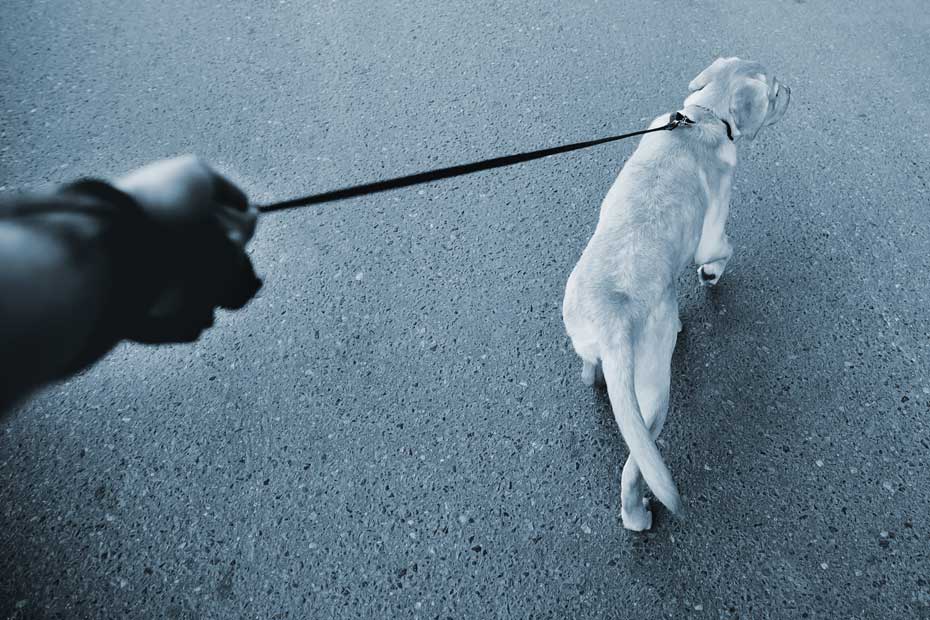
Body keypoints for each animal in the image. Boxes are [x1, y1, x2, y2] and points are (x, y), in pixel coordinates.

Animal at [560, 58, 788, 532]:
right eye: (776, 93)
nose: (794, 91)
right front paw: (712, 273)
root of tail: (611, 319)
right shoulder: (712, 228)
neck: (704, 115)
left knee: (590, 372)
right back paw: (638, 515)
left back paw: (594, 375)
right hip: (654, 391)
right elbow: (722, 249)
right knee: (635, 467)